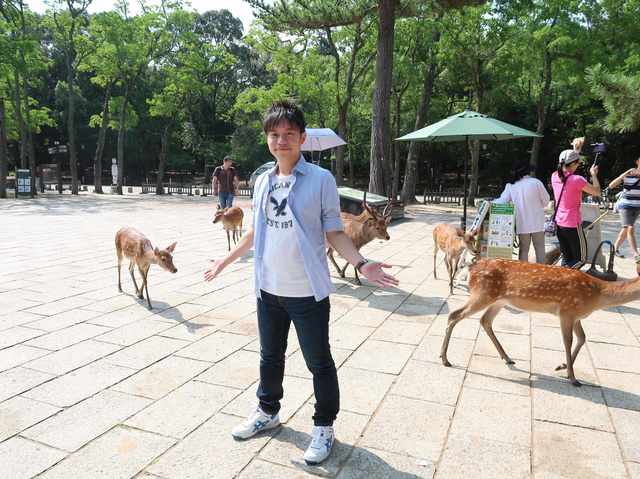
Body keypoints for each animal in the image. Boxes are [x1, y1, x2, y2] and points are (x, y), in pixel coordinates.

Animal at [440, 256, 640, 388]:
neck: (597, 295)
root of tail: (470, 267)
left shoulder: (576, 316)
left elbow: (582, 338)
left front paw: (562, 367)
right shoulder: (567, 312)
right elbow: (568, 341)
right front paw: (573, 379)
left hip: (498, 300)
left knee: (485, 320)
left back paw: (508, 358)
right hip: (482, 294)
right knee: (454, 315)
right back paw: (445, 359)